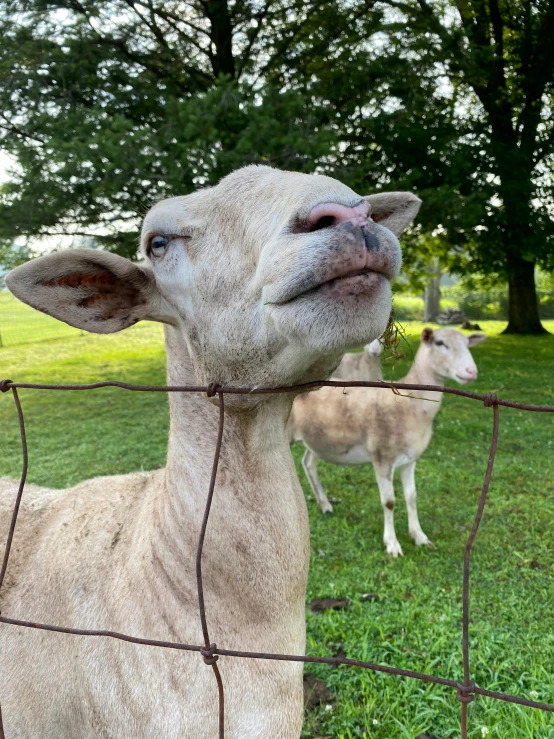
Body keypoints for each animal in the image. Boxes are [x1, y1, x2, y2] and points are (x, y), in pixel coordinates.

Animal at [286, 328, 486, 556]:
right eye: (440, 343)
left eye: (467, 344)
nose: (471, 371)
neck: (409, 405)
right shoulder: (382, 458)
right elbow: (389, 502)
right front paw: (392, 544)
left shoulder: (410, 460)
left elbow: (412, 496)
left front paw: (419, 536)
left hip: (318, 438)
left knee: (308, 463)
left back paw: (324, 503)